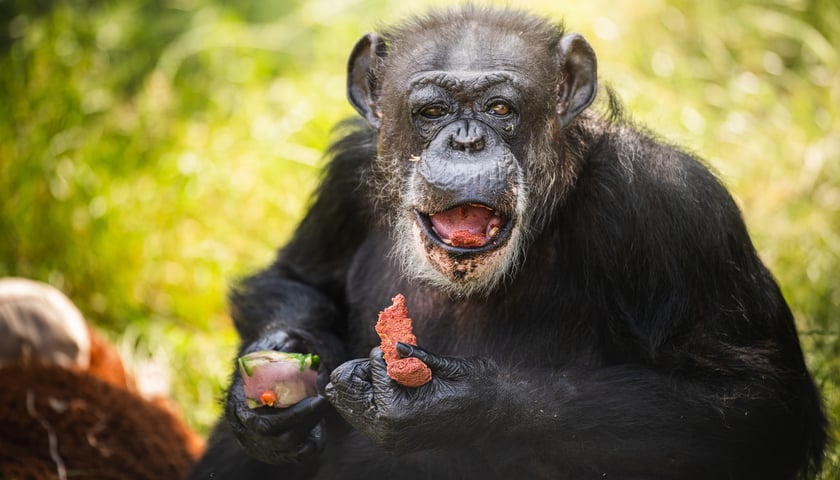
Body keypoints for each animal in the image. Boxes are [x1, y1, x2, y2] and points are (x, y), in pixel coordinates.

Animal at [189, 4, 828, 480]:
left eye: (500, 107)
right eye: (432, 110)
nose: (467, 140)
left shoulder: (675, 207)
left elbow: (753, 402)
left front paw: (459, 404)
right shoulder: (348, 169)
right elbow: (297, 278)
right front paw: (268, 395)